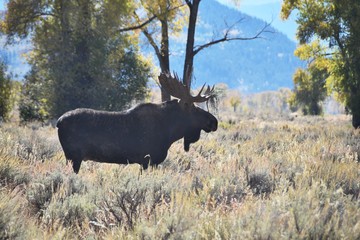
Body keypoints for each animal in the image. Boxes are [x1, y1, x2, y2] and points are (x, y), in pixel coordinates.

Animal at [57, 72, 218, 173]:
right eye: (193, 108)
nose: (214, 122)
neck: (170, 132)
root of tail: (58, 122)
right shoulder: (148, 160)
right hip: (73, 157)